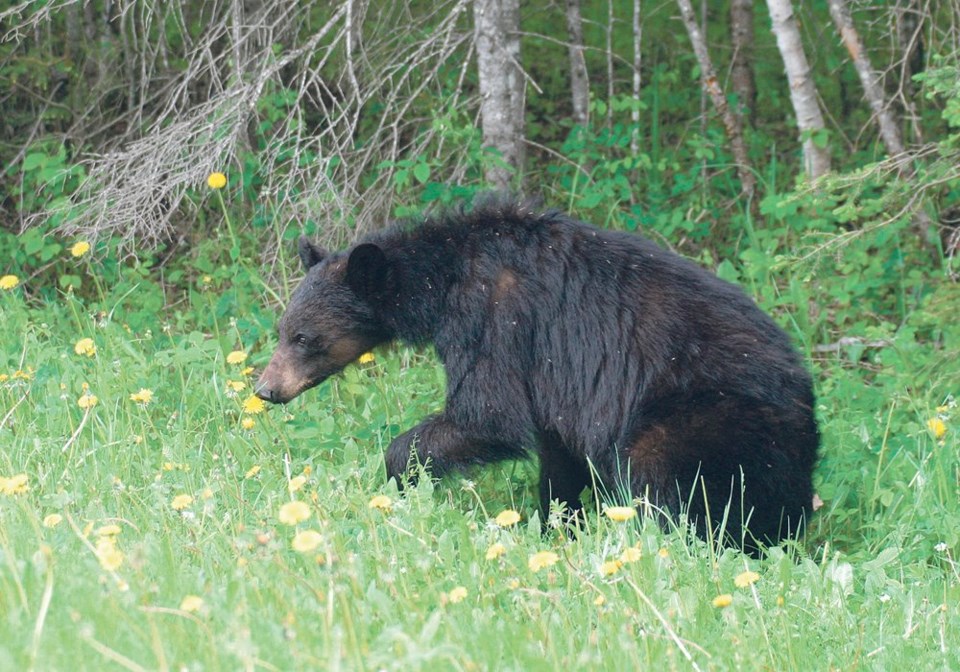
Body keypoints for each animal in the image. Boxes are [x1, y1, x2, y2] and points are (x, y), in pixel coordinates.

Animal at [258, 198, 820, 552]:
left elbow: (488, 413)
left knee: (670, 482)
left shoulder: (495, 319)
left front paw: (399, 475)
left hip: (702, 420)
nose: (266, 389)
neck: (443, 277)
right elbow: (556, 452)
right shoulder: (557, 383)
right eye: (282, 329)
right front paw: (555, 527)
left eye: (304, 337)